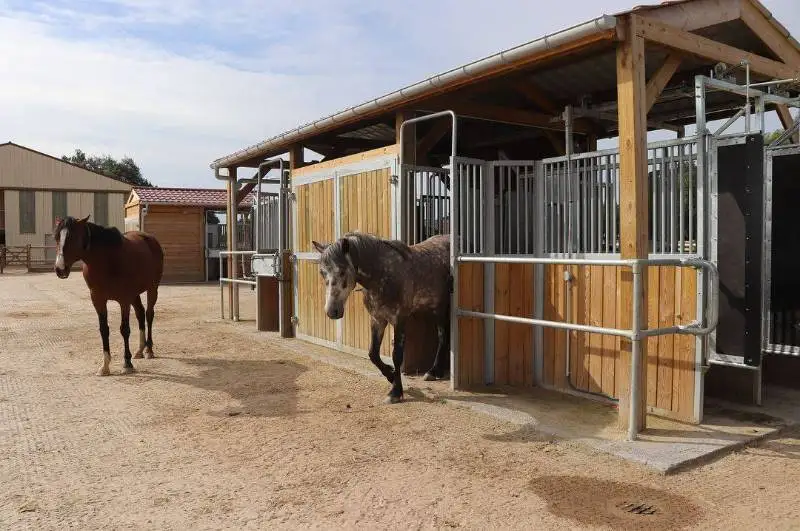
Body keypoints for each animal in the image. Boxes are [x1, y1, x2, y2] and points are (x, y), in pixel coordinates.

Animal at [53, 215, 164, 376]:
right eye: (56, 237)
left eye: (72, 237)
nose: (60, 269)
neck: (107, 260)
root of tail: (150, 239)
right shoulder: (98, 299)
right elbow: (104, 329)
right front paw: (105, 366)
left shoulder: (124, 300)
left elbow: (124, 329)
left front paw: (127, 363)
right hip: (135, 294)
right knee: (140, 313)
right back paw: (139, 350)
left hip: (152, 288)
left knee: (149, 315)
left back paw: (149, 350)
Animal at [312, 232, 452, 403]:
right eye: (322, 272)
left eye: (342, 271)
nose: (332, 311)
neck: (382, 275)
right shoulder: (377, 319)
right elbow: (373, 353)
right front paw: (391, 376)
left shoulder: (399, 320)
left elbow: (397, 356)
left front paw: (395, 392)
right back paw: (436, 371)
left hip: (441, 309)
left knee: (443, 336)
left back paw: (433, 371)